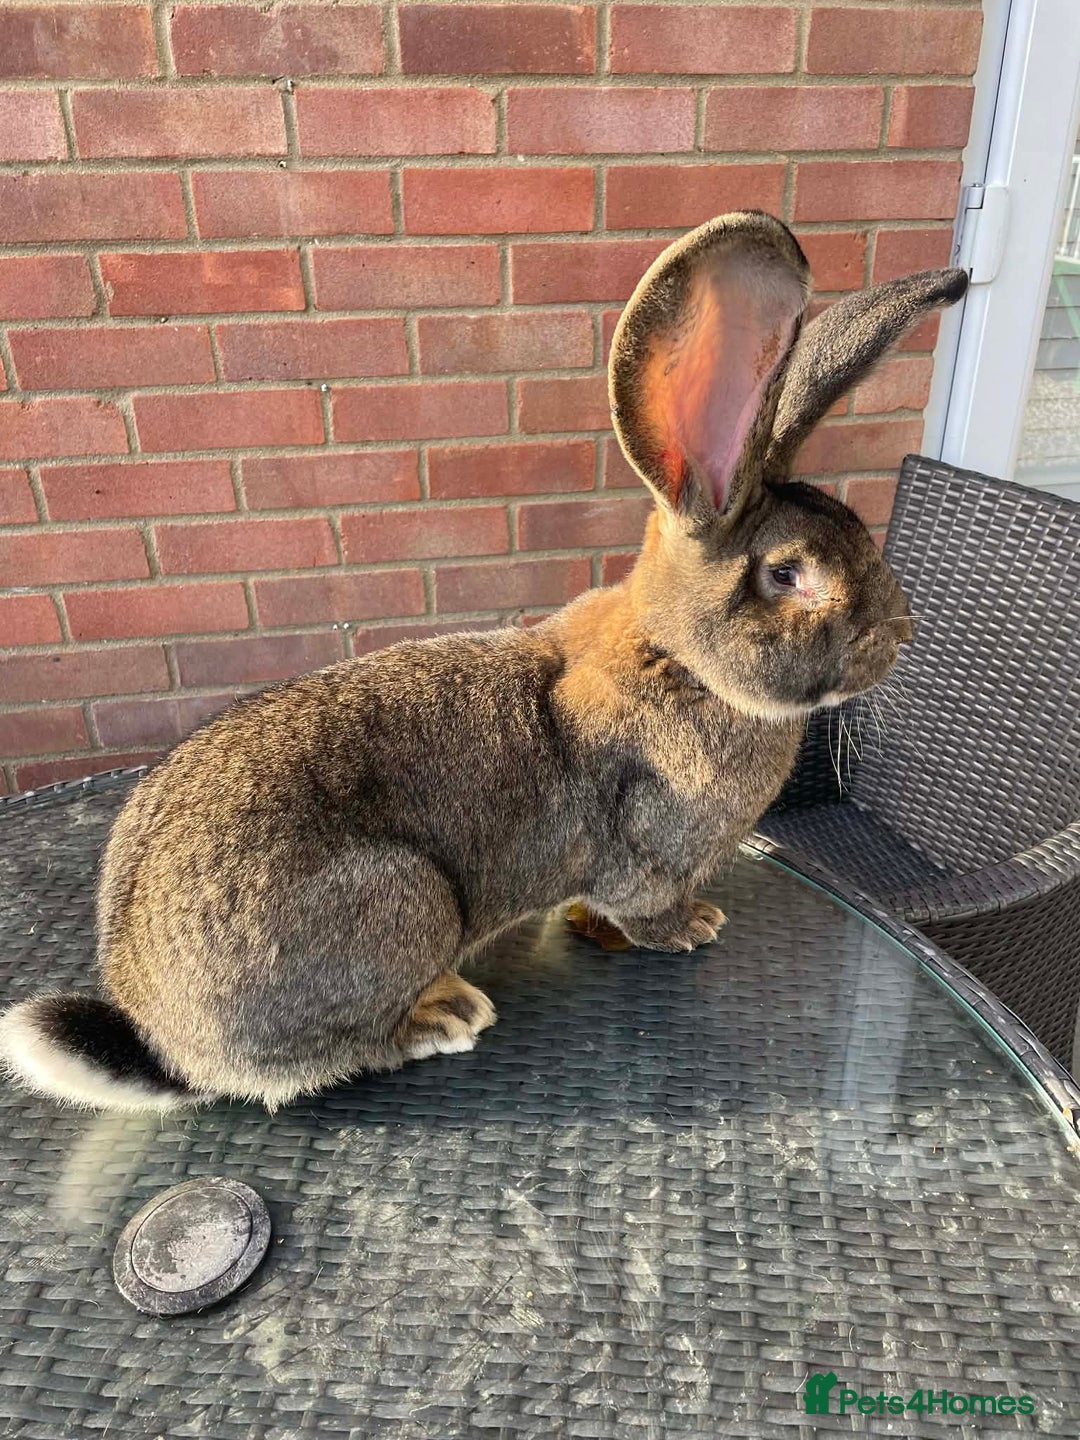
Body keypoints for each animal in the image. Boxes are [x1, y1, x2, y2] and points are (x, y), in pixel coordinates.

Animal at [0, 211, 967, 1113]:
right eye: (789, 574)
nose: (903, 631)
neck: (681, 659)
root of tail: (169, 1045)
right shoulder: (641, 851)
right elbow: (643, 905)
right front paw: (694, 926)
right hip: (403, 904)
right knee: (342, 1051)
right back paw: (445, 1014)